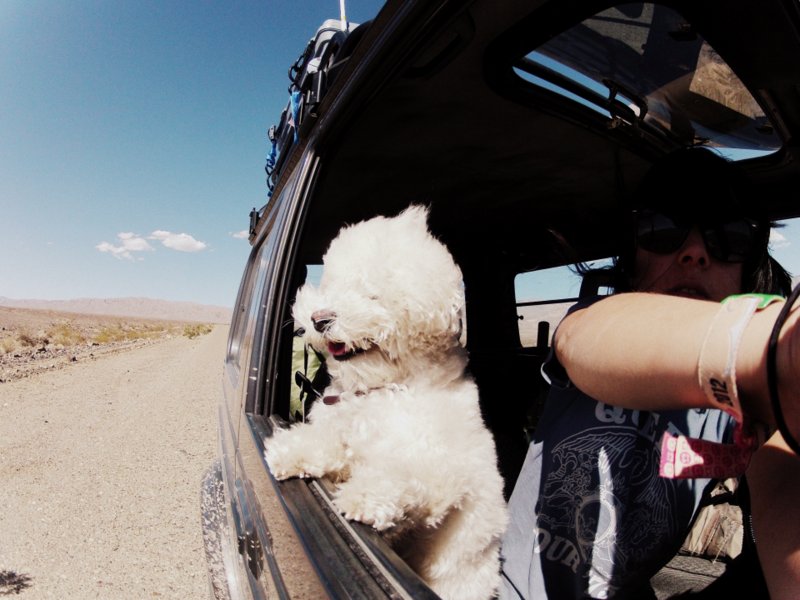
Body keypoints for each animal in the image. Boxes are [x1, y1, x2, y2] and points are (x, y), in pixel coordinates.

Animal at [264, 205, 508, 600]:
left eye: (371, 294)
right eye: (332, 285)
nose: (318, 319)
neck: (385, 389)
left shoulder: (441, 468)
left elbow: (402, 473)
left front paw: (366, 497)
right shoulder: (344, 427)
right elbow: (328, 443)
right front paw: (292, 450)